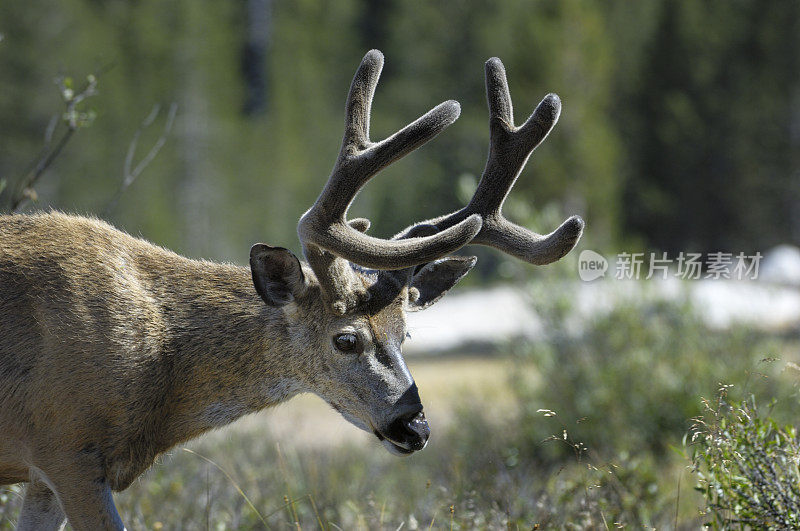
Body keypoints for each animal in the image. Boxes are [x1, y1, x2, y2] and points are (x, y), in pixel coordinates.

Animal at [3, 48, 584, 528]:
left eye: (407, 336)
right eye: (346, 338)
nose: (415, 429)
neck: (158, 368)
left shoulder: (44, 475)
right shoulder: (67, 447)